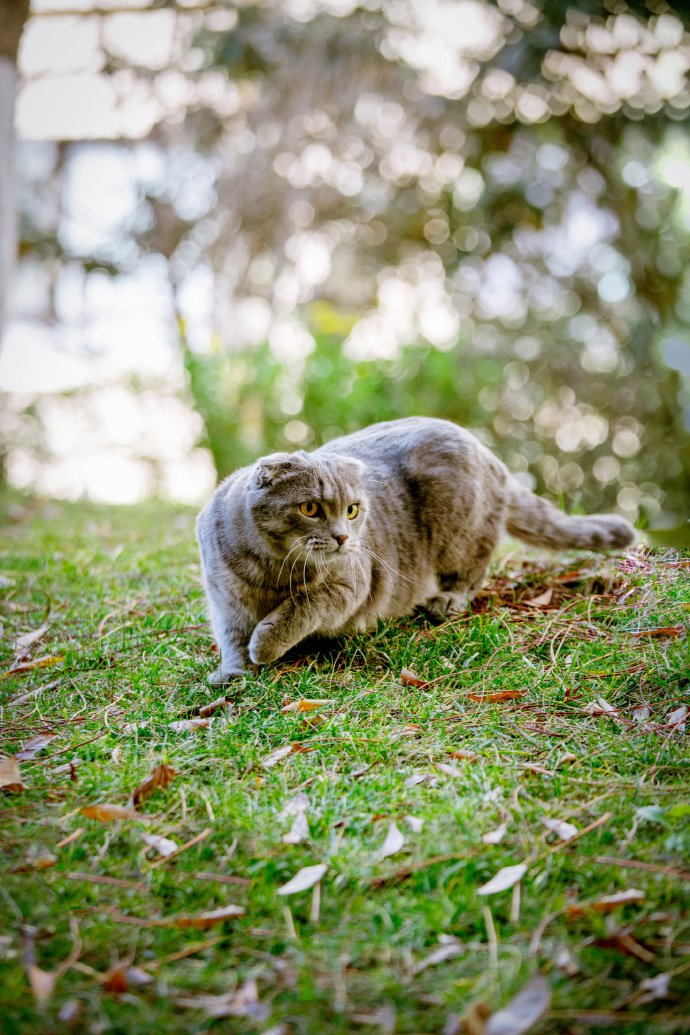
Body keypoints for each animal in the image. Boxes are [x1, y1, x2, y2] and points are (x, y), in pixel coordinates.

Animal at [195, 416, 637, 683]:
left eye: (352, 510)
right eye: (310, 508)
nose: (343, 537)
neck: (272, 571)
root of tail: (486, 452)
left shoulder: (350, 585)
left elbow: (301, 607)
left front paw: (266, 644)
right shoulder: (224, 598)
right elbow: (232, 635)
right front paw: (234, 671)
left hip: (459, 531)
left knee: (472, 571)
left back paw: (446, 600)